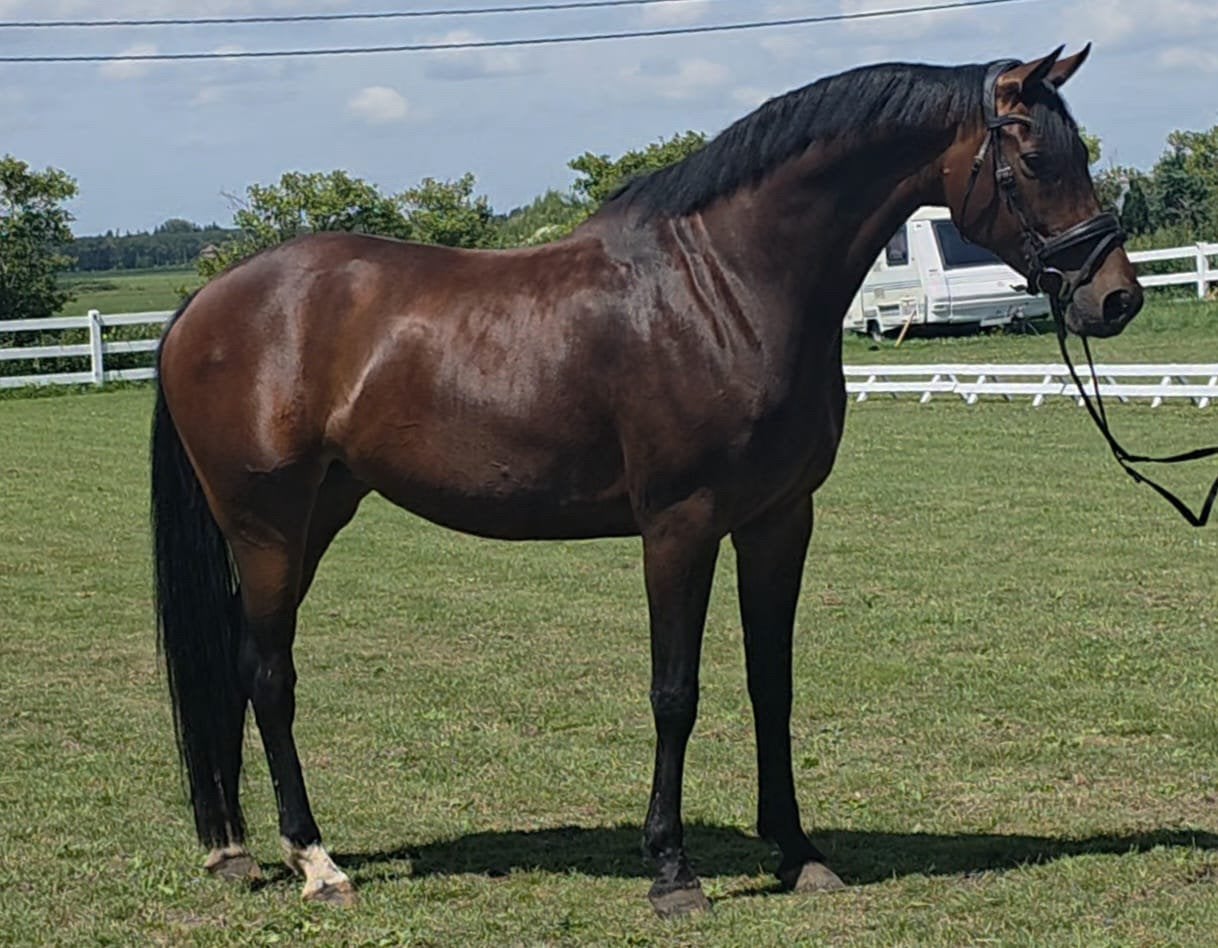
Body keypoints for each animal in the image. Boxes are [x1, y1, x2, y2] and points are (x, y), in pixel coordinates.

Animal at [150, 44, 1143, 916]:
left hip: (320, 512)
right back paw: (316, 861)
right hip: (267, 525)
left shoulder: (780, 520)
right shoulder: (679, 526)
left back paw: (238, 847)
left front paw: (798, 854)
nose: (1116, 298)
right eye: (1034, 156)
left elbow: (771, 682)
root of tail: (205, 303)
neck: (727, 287)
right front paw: (672, 871)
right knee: (269, 672)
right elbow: (677, 693)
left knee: (238, 659)